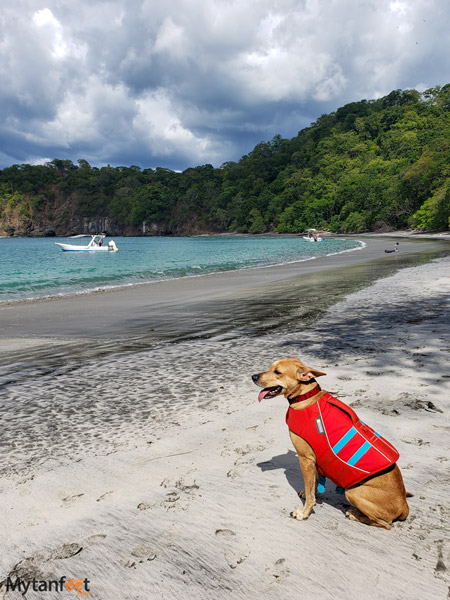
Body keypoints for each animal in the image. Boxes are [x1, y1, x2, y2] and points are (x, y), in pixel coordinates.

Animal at [251, 356, 410, 528]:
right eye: (270, 367)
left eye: (277, 372)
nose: (253, 376)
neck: (306, 396)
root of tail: (404, 505)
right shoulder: (314, 460)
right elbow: (313, 484)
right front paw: (308, 494)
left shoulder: (305, 459)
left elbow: (310, 492)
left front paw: (304, 513)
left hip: (353, 492)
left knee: (385, 523)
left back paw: (355, 515)